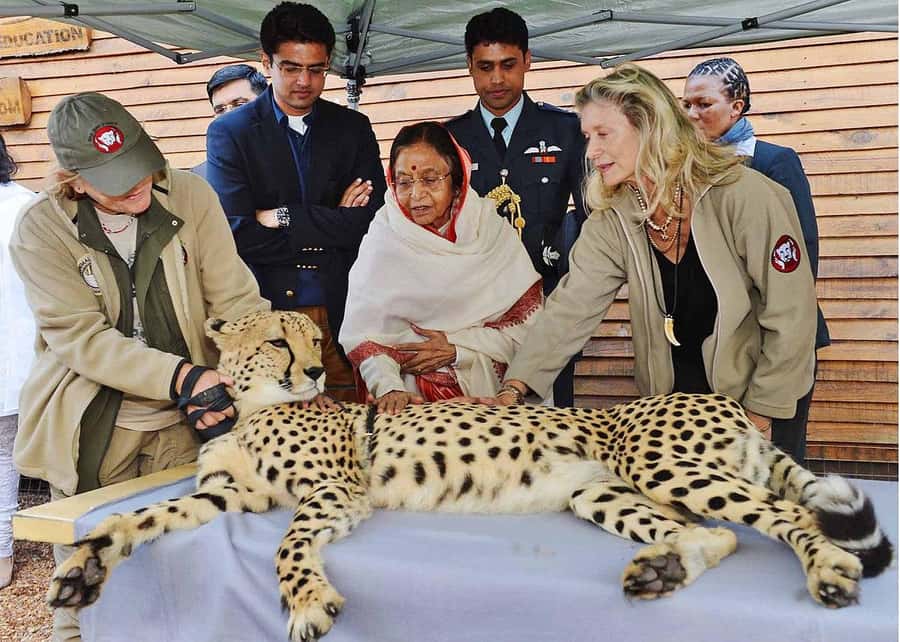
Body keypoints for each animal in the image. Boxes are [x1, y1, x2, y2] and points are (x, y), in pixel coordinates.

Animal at [47, 310, 893, 641]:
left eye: (311, 340)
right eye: (283, 342)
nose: (318, 369)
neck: (253, 405)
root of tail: (719, 397)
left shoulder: (336, 491)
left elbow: (288, 544)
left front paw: (310, 601)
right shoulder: (223, 495)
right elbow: (136, 519)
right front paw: (84, 567)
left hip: (657, 461)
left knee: (791, 519)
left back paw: (830, 573)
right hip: (601, 488)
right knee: (712, 536)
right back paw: (659, 571)